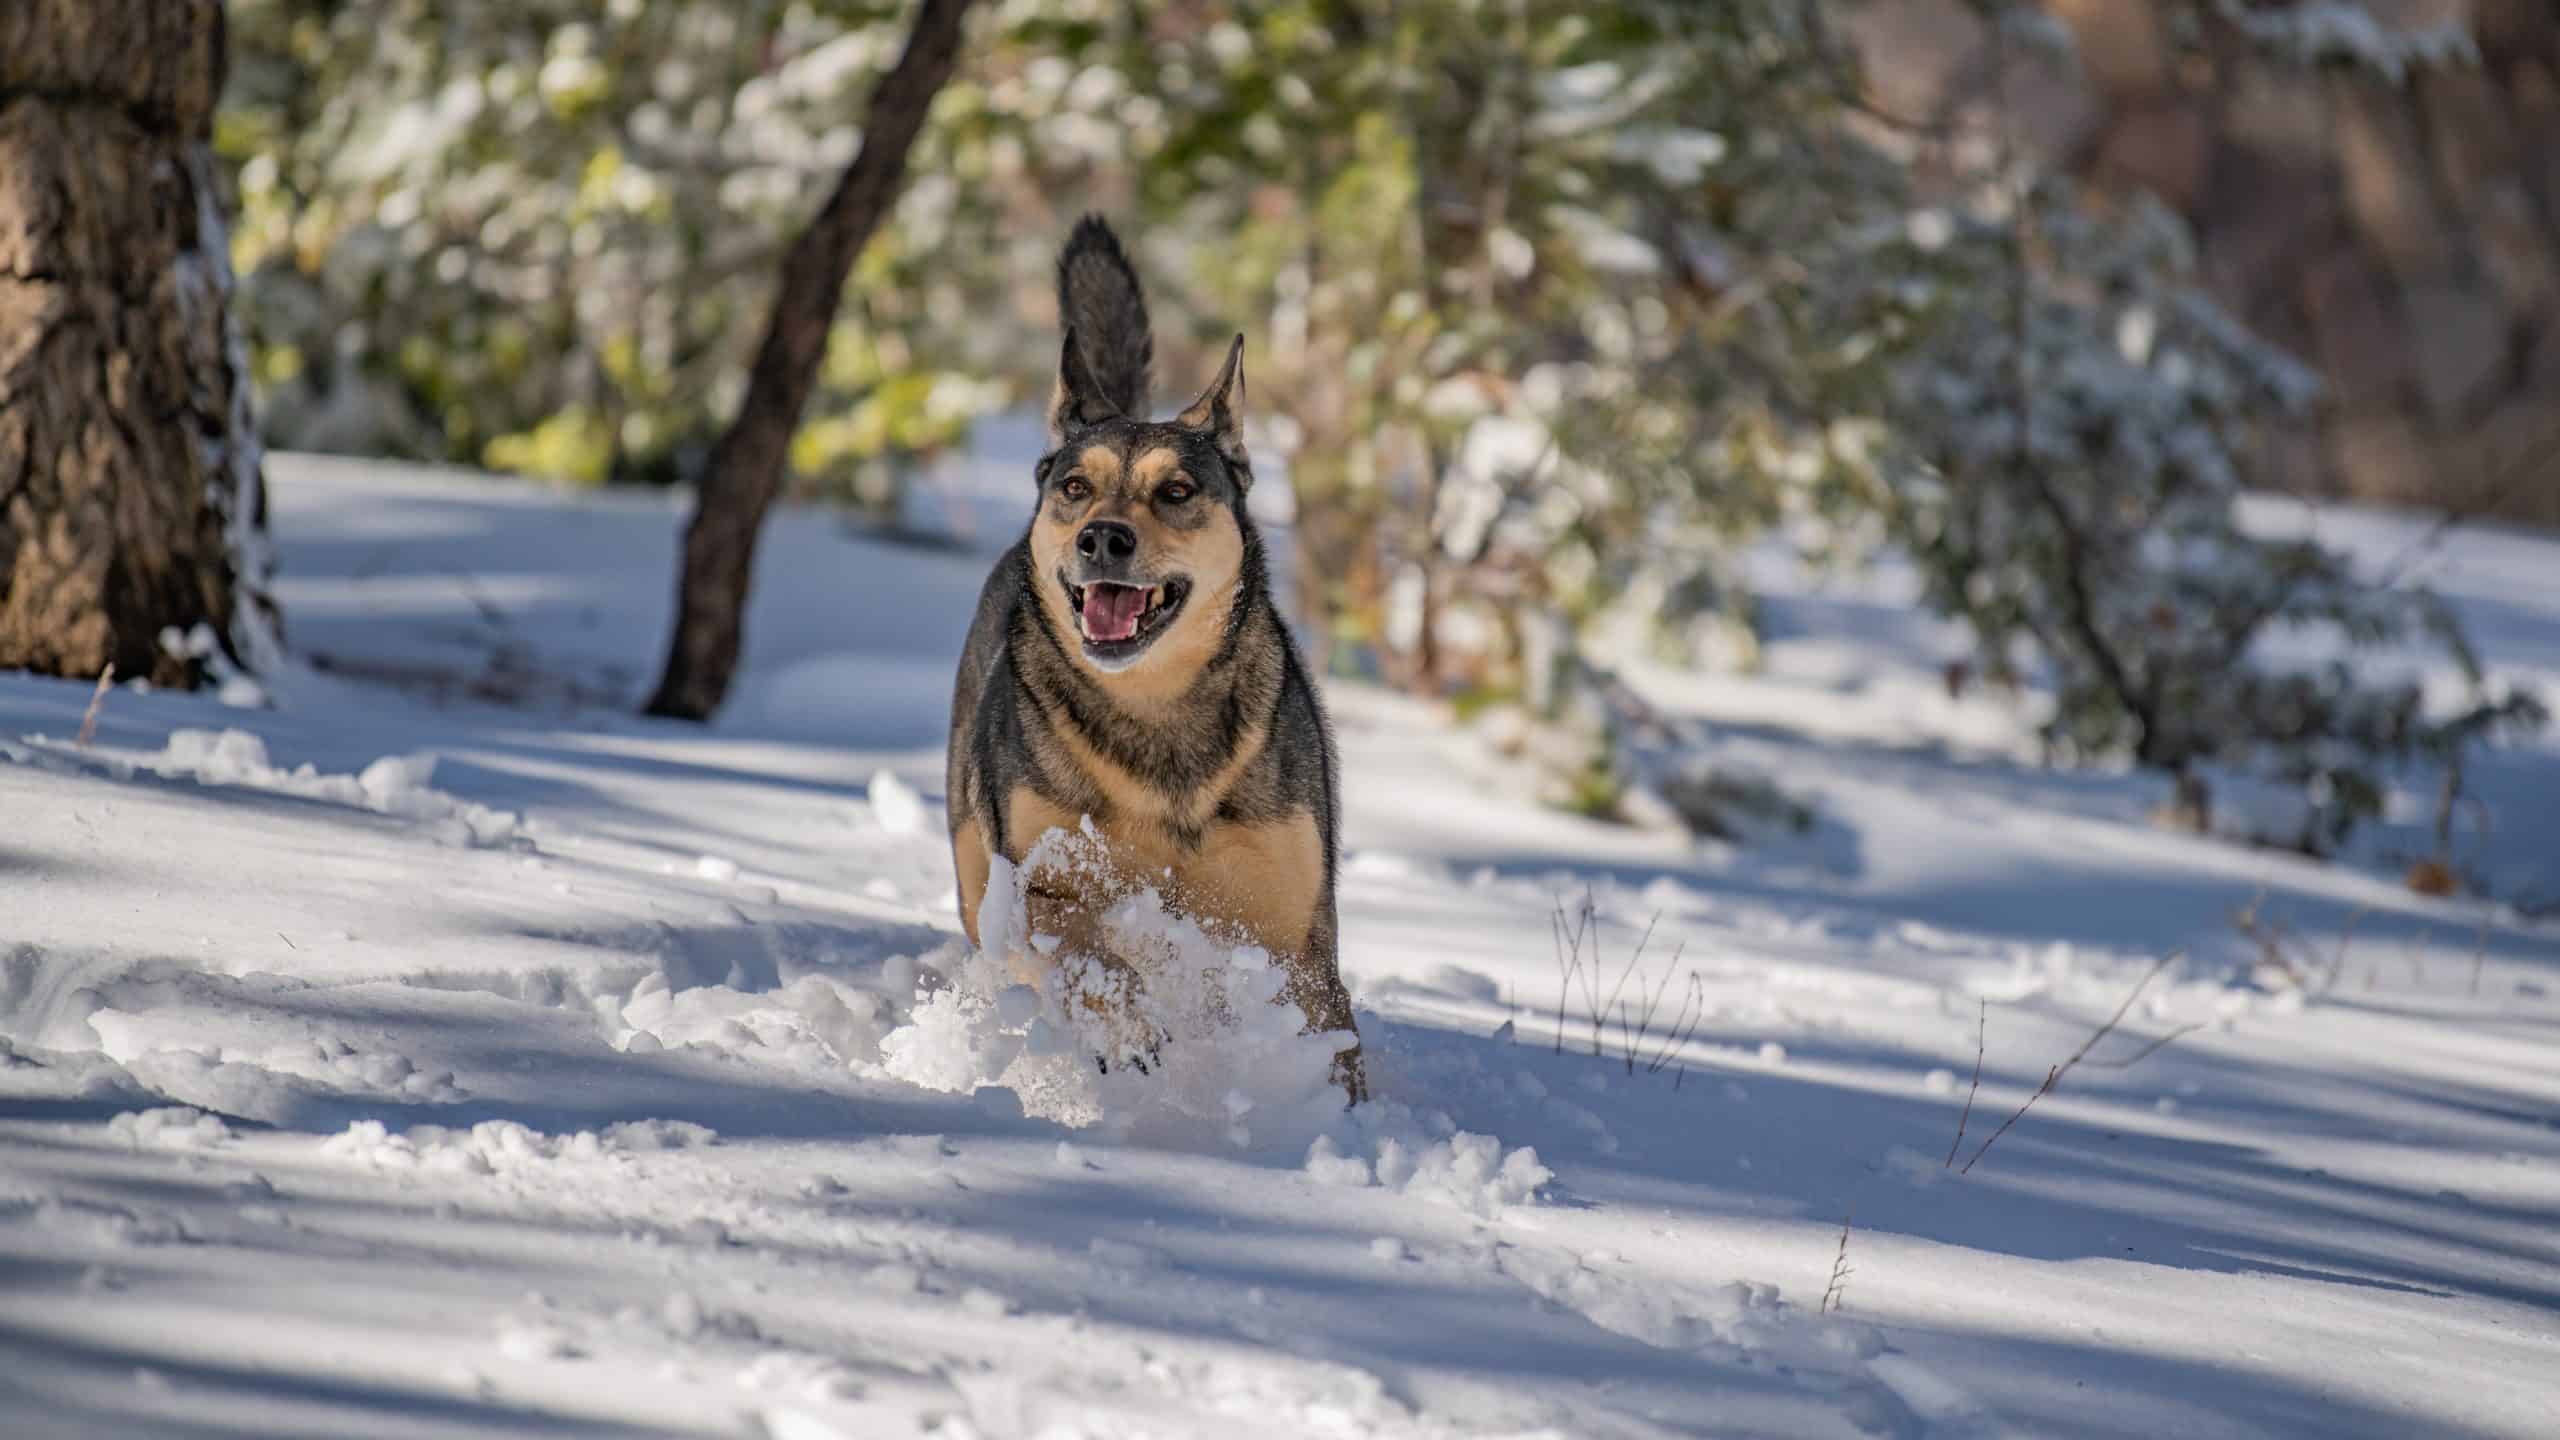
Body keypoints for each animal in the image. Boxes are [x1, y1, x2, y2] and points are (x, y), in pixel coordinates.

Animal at [952, 212, 1372, 1091]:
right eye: (1075, 487)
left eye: (1176, 491)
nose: (1101, 538)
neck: (1156, 713)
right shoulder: (1045, 884)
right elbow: (1093, 959)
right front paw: (1133, 1033)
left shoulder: (1295, 933)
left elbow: (1327, 1040)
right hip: (978, 877)